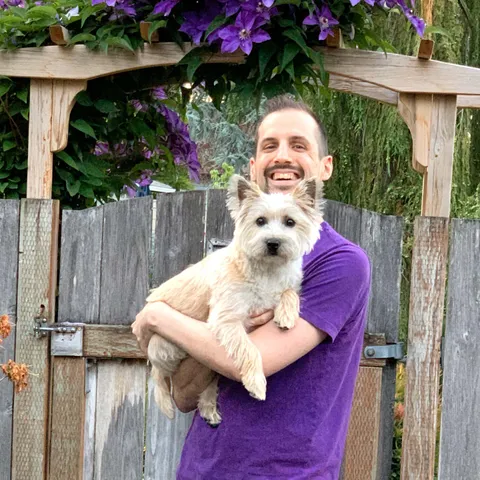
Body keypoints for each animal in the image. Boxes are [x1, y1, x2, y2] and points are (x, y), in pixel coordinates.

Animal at [146, 174, 324, 426]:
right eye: (260, 221)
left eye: (290, 222)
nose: (273, 243)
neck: (266, 270)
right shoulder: (227, 320)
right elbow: (249, 349)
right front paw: (257, 383)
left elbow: (290, 292)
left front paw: (287, 314)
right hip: (165, 346)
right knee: (158, 374)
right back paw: (167, 402)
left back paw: (208, 407)